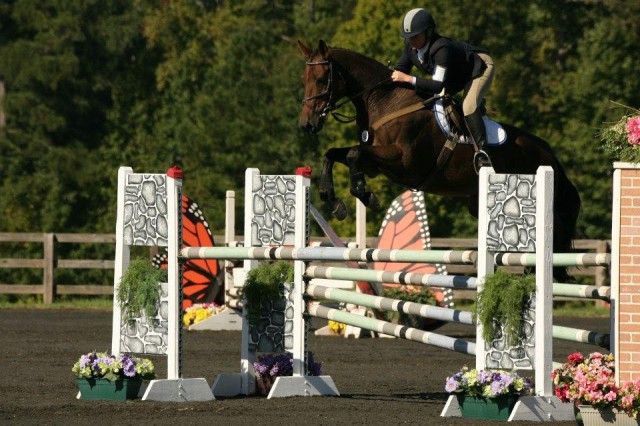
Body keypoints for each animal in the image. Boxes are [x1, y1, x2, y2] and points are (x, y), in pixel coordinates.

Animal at [298, 38, 584, 282]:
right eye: (304, 79)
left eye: (322, 79)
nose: (307, 125)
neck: (385, 102)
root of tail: (549, 154)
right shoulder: (375, 164)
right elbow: (334, 154)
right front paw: (332, 199)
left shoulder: (404, 162)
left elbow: (354, 154)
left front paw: (365, 195)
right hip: (477, 203)